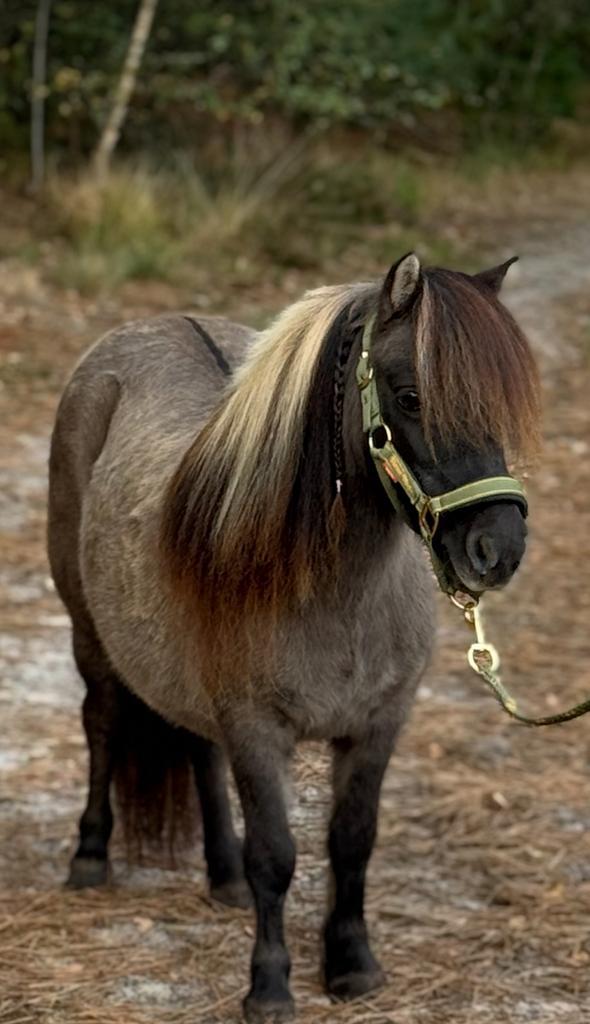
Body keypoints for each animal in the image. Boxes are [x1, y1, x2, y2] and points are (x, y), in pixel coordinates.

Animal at [47, 253, 540, 1022]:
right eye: (409, 396)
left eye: (498, 403)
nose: (498, 550)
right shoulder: (257, 729)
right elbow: (276, 855)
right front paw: (271, 987)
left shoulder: (378, 725)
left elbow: (352, 841)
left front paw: (351, 964)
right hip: (89, 636)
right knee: (100, 724)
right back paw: (91, 857)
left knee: (195, 747)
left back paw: (221, 877)